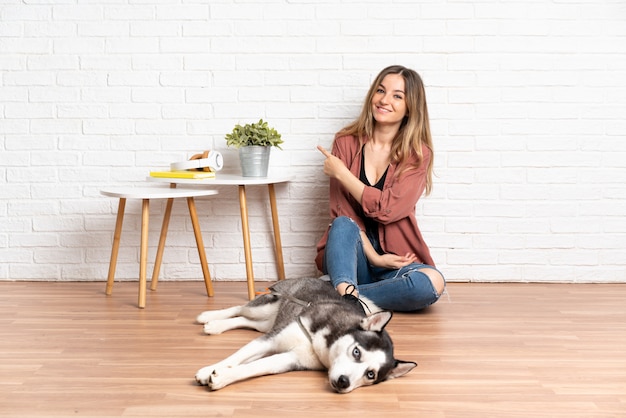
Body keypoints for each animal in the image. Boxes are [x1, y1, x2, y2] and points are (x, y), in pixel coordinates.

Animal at [193, 278, 412, 392]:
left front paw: (223, 377)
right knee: (241, 309)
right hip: (265, 308)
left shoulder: (289, 358)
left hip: (268, 322)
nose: (344, 382)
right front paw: (208, 371)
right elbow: (234, 358)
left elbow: (255, 367)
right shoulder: (271, 340)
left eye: (370, 374)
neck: (318, 345)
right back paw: (209, 317)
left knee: (246, 321)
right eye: (356, 352)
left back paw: (216, 326)